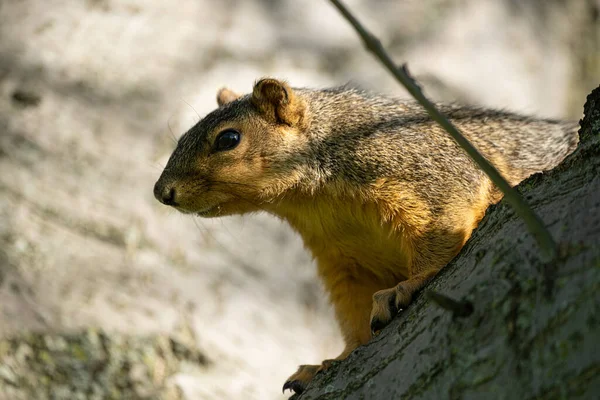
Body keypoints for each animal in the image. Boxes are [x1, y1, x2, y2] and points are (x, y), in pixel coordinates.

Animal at [152, 78, 580, 394]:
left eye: (228, 139)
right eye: (182, 136)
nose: (162, 192)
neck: (313, 202)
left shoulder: (431, 174)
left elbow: (442, 232)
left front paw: (408, 285)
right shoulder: (345, 260)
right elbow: (355, 311)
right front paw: (332, 361)